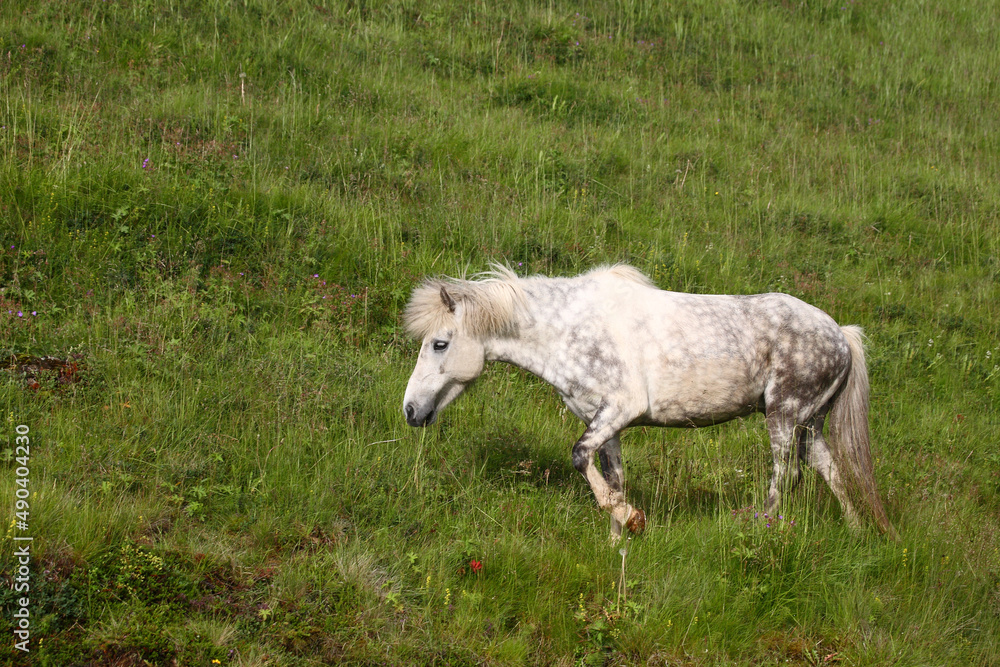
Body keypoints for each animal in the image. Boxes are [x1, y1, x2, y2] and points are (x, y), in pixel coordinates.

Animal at [401, 264, 895, 540]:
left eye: (440, 344)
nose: (410, 410)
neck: (568, 329)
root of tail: (842, 336)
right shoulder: (607, 422)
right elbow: (612, 477)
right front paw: (617, 542)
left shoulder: (621, 408)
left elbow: (579, 457)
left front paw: (632, 519)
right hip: (810, 423)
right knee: (830, 469)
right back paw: (857, 532)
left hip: (784, 415)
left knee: (786, 475)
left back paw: (759, 529)